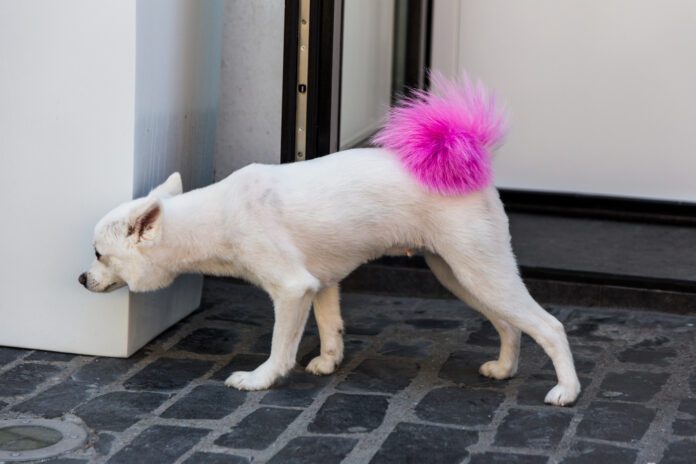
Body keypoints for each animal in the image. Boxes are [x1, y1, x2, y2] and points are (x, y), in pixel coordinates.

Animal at [80, 74, 580, 404]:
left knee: (549, 326)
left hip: (481, 269)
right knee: (510, 324)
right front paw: (328, 361)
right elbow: (330, 324)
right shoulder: (321, 283)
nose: (82, 279)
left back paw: (567, 390)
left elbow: (281, 343)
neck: (215, 215)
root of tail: (468, 155)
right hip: (459, 274)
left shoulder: (291, 288)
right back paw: (504, 369)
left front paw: (262, 379)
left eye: (99, 254)